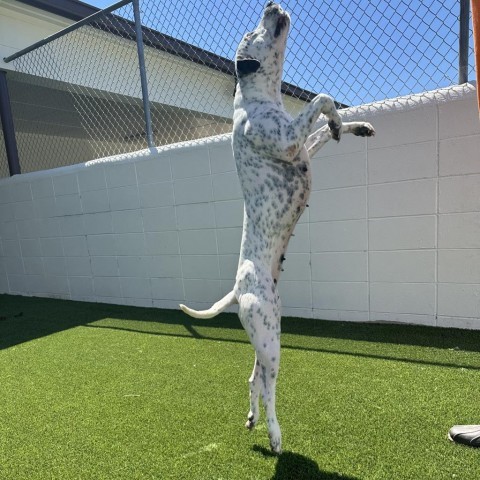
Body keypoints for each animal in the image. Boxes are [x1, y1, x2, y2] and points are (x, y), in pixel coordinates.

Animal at [178, 0, 374, 454]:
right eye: (254, 30)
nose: (270, 4)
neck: (256, 99)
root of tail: (238, 288)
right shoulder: (287, 140)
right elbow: (322, 98)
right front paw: (337, 117)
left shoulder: (302, 148)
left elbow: (327, 126)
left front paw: (354, 126)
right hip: (270, 339)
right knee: (268, 386)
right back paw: (275, 433)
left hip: (265, 331)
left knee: (254, 378)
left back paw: (253, 420)